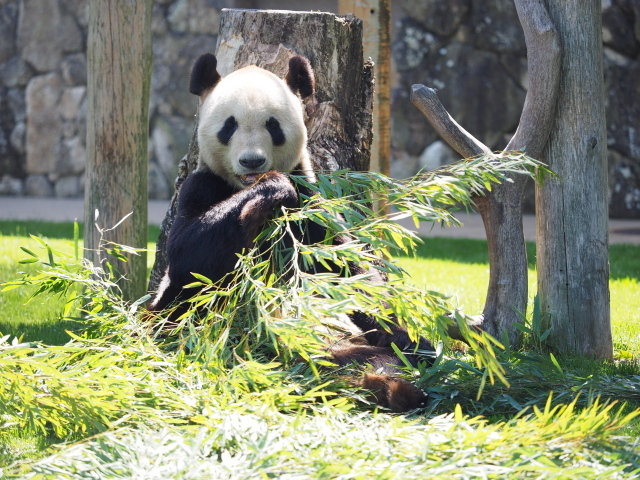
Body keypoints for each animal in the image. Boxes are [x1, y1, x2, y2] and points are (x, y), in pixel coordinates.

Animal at [148, 53, 432, 412]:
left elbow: (351, 273)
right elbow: (189, 255)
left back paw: (395, 381)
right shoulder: (201, 186)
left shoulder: (311, 209)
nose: (252, 161)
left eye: (273, 125)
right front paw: (270, 191)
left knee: (386, 356)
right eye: (229, 125)